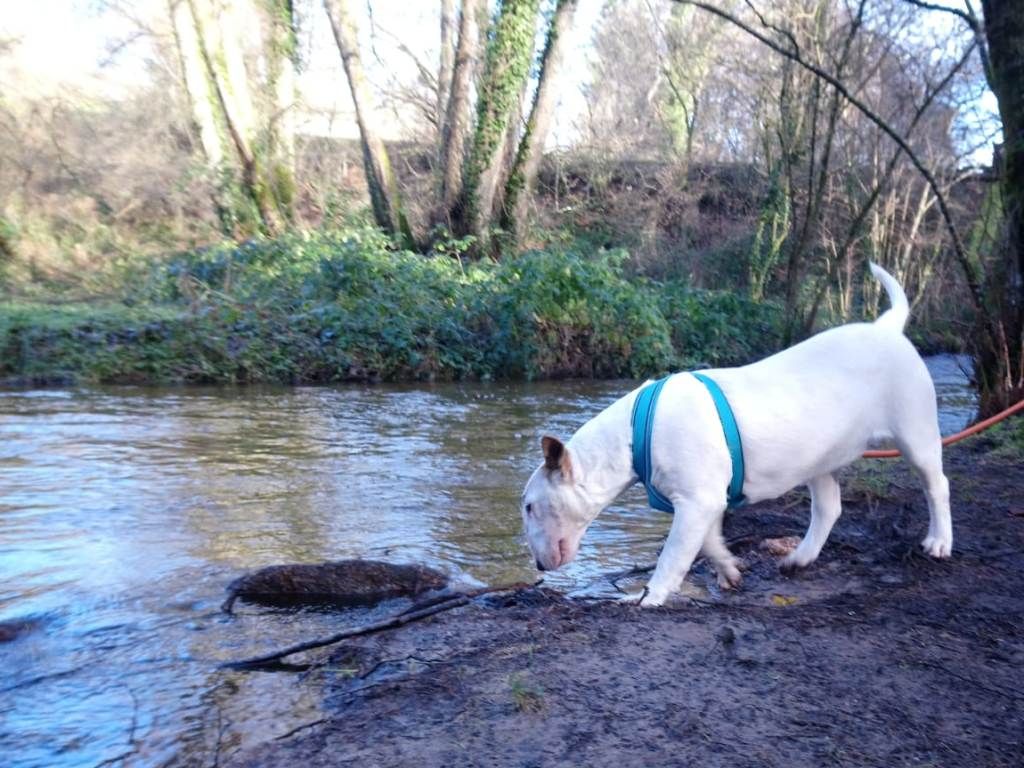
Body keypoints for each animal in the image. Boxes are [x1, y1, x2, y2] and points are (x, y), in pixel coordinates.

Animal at [524, 264, 954, 606]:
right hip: (820, 457)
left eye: (528, 506)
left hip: (916, 432)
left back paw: (939, 542)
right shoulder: (708, 500)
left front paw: (648, 597)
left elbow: (673, 555)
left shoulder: (697, 501)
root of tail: (888, 328)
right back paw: (798, 558)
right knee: (829, 507)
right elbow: (709, 542)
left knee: (937, 485)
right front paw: (728, 571)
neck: (633, 433)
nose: (538, 565)